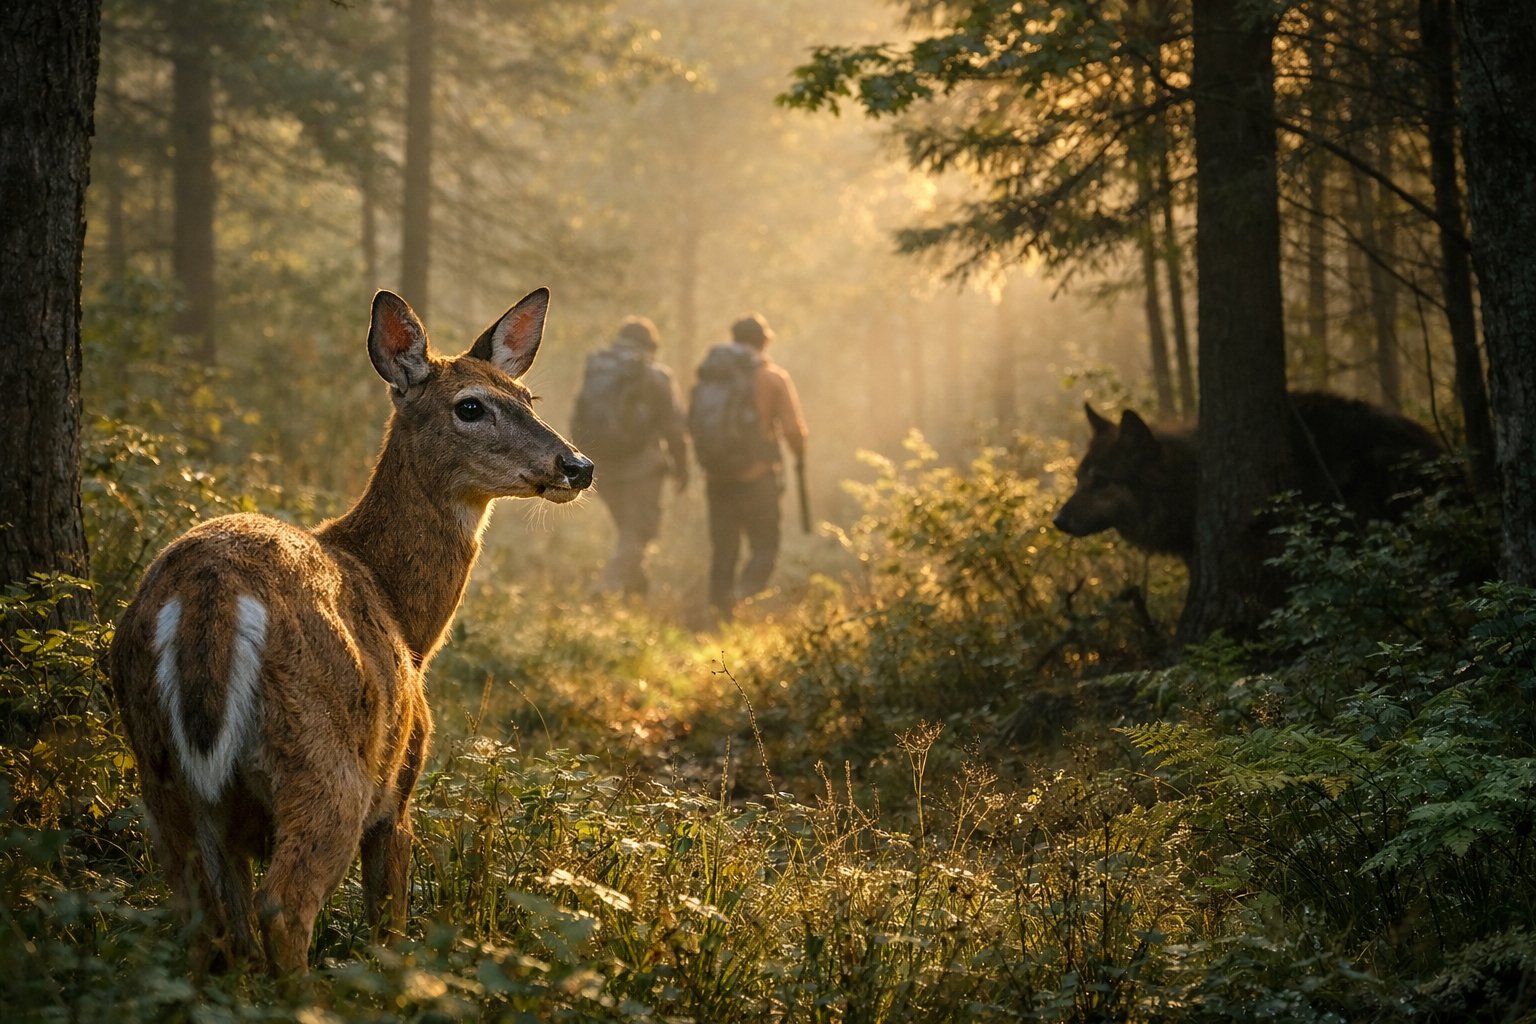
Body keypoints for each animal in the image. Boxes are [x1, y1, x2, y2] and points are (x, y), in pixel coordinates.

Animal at [107, 288, 594, 975]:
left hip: (159, 767)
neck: (408, 624)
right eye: (470, 406)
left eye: (528, 398)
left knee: (204, 916)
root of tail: (210, 595)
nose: (577, 464)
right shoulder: (401, 786)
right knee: (283, 905)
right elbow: (390, 920)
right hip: (326, 759)